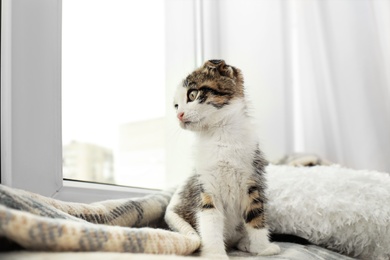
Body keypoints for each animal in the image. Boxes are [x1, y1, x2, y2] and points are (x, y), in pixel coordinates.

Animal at [165, 60, 280, 258]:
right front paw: (214, 254)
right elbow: (210, 220)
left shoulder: (252, 177)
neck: (220, 134)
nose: (179, 115)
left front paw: (262, 248)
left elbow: (255, 214)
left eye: (192, 94)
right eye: (176, 106)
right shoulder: (205, 185)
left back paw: (245, 243)